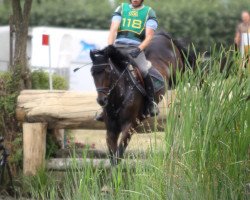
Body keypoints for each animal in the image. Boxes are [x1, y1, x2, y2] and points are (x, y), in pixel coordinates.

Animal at [89, 31, 196, 165]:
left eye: (108, 71)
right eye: (92, 73)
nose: (101, 100)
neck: (118, 97)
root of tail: (164, 36)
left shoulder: (129, 126)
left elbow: (119, 155)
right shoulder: (111, 129)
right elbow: (113, 158)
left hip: (179, 74)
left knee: (189, 76)